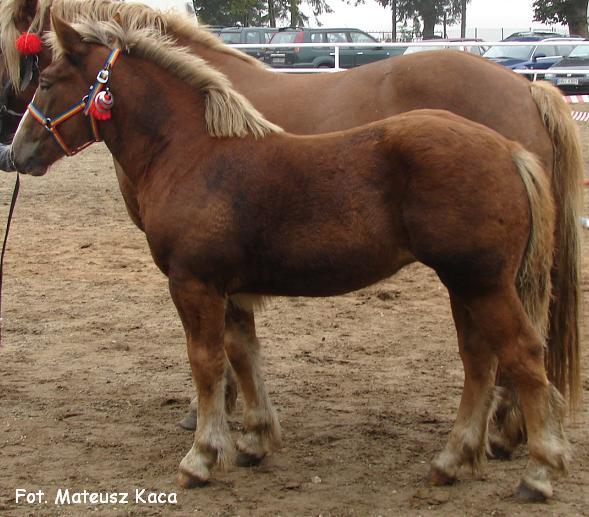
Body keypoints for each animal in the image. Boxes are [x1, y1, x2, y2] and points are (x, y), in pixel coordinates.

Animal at [9, 15, 568, 500]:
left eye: (48, 82)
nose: (15, 153)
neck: (192, 152)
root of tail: (508, 149)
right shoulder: (230, 289)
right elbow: (244, 355)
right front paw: (254, 442)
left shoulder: (194, 284)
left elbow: (206, 363)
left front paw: (202, 457)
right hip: (464, 284)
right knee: (479, 361)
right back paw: (453, 460)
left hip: (483, 283)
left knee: (523, 355)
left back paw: (538, 472)